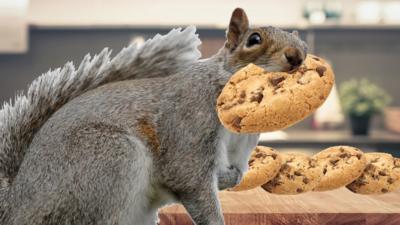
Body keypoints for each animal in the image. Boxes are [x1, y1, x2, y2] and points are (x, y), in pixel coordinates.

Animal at [0, 7, 306, 225]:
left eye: (303, 43)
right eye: (253, 40)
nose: (297, 56)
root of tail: (16, 208)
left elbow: (236, 174)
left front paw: (230, 177)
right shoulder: (190, 121)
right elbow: (188, 178)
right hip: (110, 159)